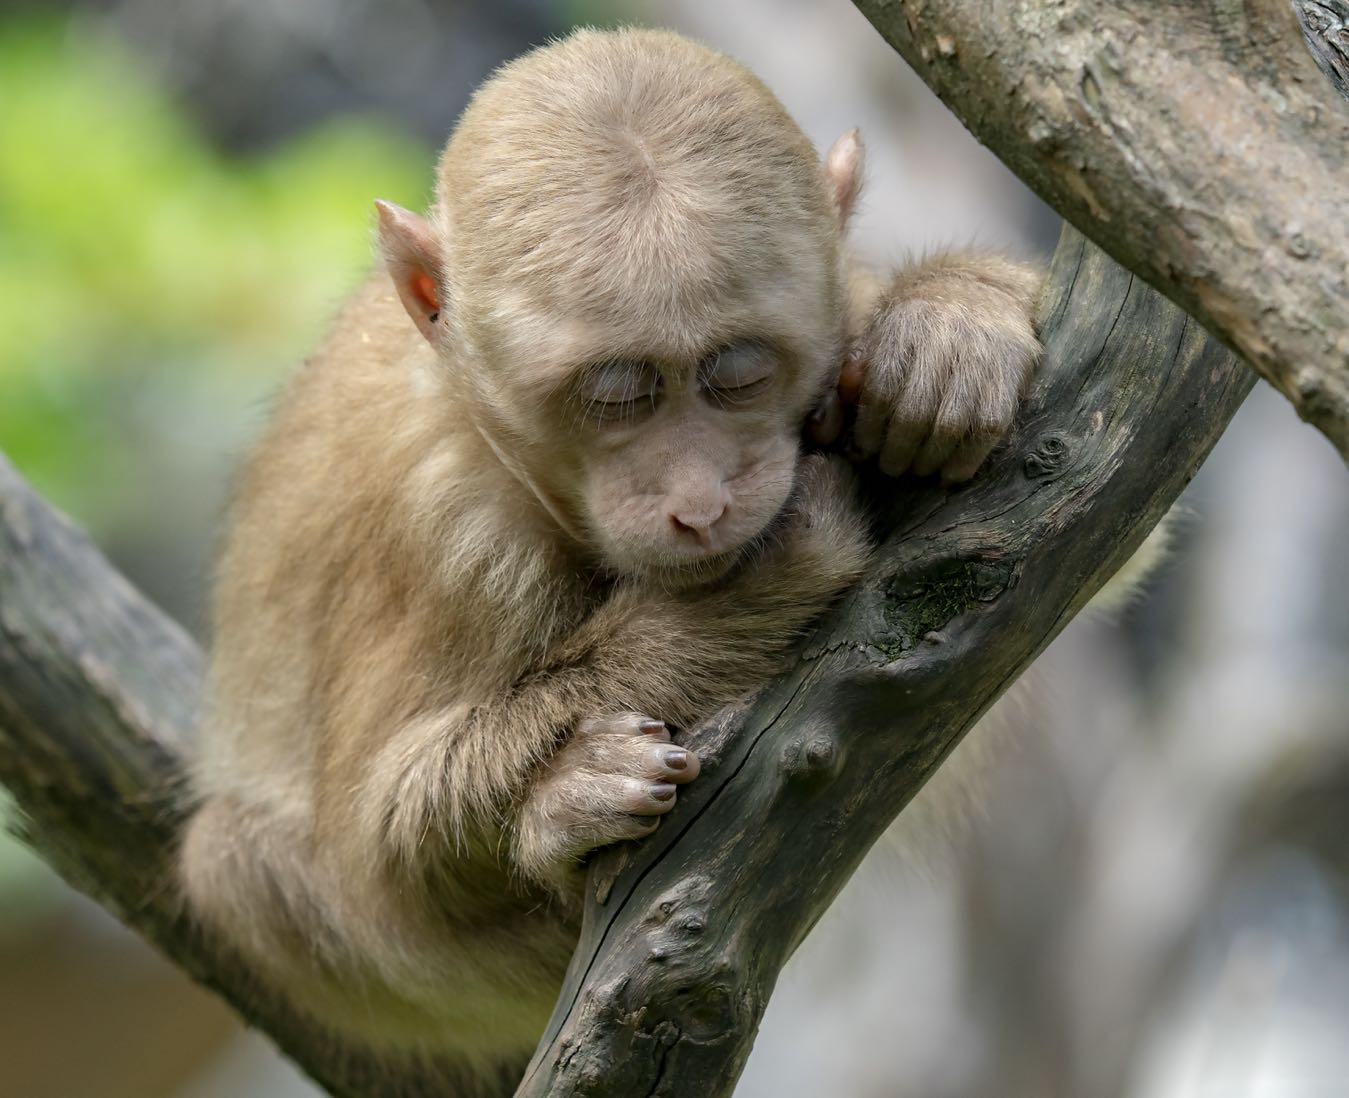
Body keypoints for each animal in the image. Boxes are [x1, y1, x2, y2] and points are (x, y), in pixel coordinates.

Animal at [179, 25, 1036, 1089]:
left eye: (738, 374)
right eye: (616, 395)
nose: (699, 502)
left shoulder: (845, 332)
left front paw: (953, 320)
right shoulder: (450, 535)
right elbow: (374, 854)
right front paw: (736, 604)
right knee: (233, 864)